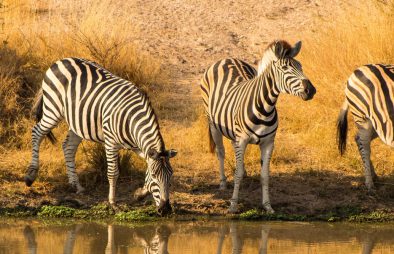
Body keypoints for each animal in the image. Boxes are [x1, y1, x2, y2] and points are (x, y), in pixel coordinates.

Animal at [24, 57, 177, 214]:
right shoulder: (111, 143)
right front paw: (113, 203)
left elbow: (146, 167)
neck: (131, 120)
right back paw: (30, 175)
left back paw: (75, 185)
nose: (165, 209)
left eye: (171, 176)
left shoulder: (139, 147)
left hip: (77, 121)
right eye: (155, 176)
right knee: (36, 132)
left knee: (68, 146)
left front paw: (140, 193)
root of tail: (61, 60)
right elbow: (113, 172)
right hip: (53, 110)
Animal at [200, 40, 318, 212]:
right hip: (213, 123)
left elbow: (265, 175)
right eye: (285, 68)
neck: (265, 108)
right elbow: (237, 174)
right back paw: (222, 183)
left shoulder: (269, 142)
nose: (311, 90)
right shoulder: (242, 139)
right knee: (220, 152)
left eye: (300, 66)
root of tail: (227, 58)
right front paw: (233, 205)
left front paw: (268, 206)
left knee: (233, 149)